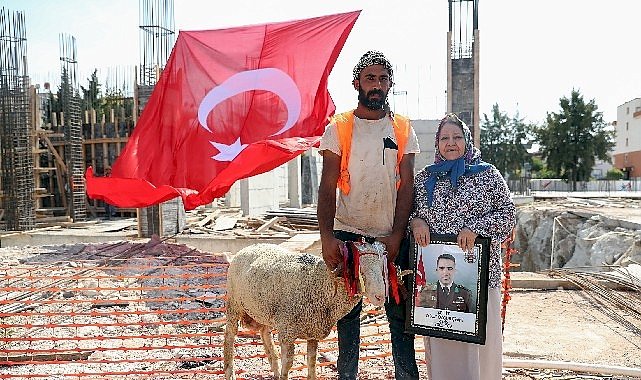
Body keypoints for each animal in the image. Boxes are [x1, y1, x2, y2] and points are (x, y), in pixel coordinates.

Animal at [222, 243, 388, 380]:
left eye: (382, 269)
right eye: (360, 270)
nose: (381, 296)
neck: (321, 285)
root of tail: (247, 248)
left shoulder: (313, 332)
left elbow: (312, 362)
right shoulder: (287, 332)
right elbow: (288, 364)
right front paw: (283, 374)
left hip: (262, 311)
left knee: (265, 333)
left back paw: (274, 368)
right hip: (234, 304)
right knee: (229, 335)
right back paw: (230, 372)